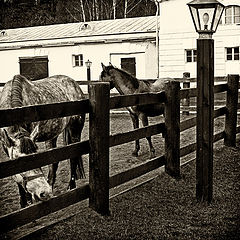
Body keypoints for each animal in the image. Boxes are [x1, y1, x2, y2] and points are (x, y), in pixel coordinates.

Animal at [0, 74, 86, 207]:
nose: (44, 192)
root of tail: (75, 85)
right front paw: (24, 201)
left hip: (75, 130)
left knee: (73, 157)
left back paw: (71, 186)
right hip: (52, 135)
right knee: (53, 162)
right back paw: (50, 185)